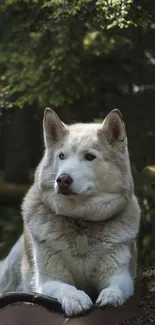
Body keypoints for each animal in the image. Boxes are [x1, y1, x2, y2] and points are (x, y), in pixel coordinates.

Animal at [0, 107, 140, 316]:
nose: (63, 180)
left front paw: (111, 296)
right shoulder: (49, 280)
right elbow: (66, 287)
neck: (80, 221)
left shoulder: (121, 275)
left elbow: (115, 287)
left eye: (89, 156)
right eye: (62, 156)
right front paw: (76, 299)